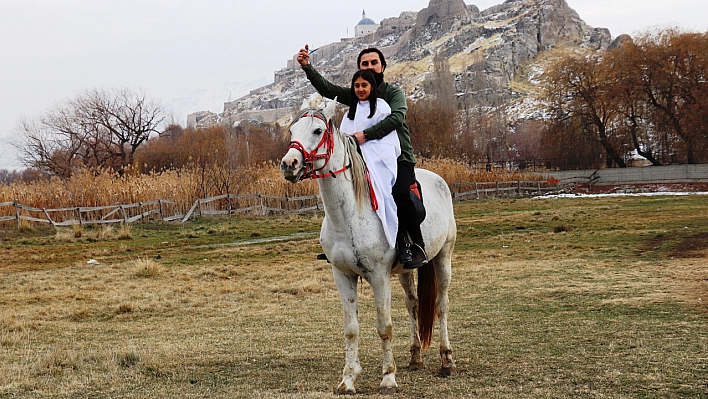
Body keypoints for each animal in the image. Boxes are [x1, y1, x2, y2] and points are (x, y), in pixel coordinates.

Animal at [280, 101, 456, 396]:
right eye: (292, 130)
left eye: (317, 131)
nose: (288, 164)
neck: (349, 214)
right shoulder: (343, 276)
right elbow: (351, 329)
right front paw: (349, 379)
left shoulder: (379, 277)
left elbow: (384, 327)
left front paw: (388, 378)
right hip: (406, 271)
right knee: (413, 304)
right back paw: (415, 358)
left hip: (444, 258)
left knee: (440, 305)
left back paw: (447, 361)